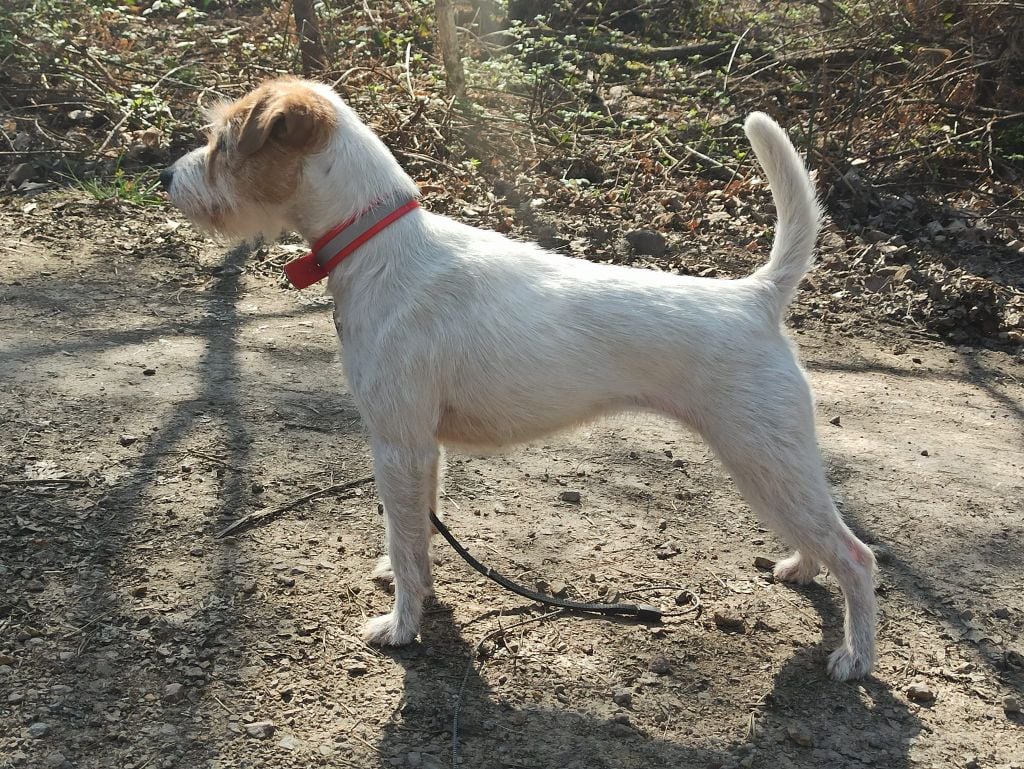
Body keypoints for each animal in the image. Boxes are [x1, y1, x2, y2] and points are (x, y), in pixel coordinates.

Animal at [163, 76, 876, 679]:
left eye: (224, 141)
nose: (166, 174)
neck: (379, 246)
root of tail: (756, 297)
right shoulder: (423, 450)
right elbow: (417, 531)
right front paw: (411, 587)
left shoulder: (397, 445)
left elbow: (405, 537)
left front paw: (401, 625)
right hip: (771, 468)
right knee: (822, 542)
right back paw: (800, 569)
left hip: (765, 459)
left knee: (857, 556)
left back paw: (855, 658)